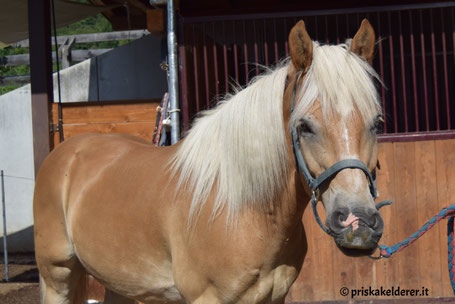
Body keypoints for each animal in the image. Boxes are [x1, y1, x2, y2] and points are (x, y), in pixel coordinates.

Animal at [34, 19, 384, 304]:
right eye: (305, 126)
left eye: (377, 122)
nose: (358, 225)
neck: (241, 210)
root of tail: (67, 152)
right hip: (57, 277)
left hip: (120, 283)